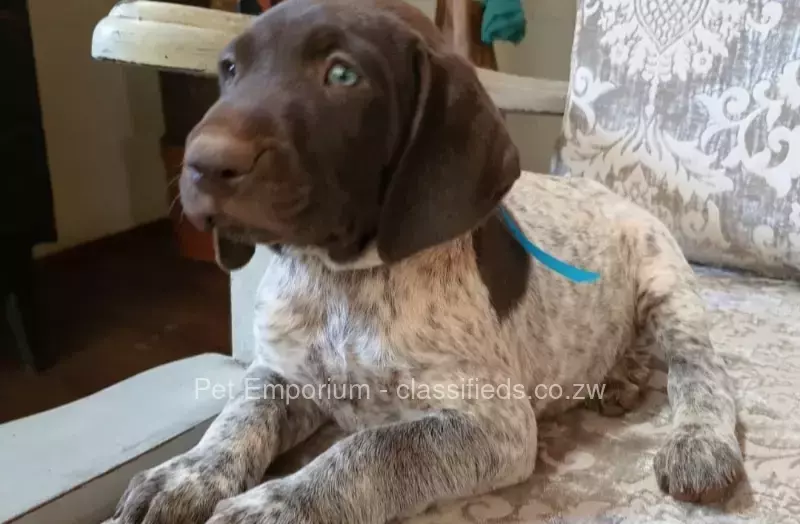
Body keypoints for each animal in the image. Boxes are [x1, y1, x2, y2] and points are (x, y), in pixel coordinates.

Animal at [111, 1, 744, 524]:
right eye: (230, 71)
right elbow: (239, 415)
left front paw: (275, 505)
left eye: (342, 74)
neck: (342, 282)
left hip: (667, 283)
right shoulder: (282, 374)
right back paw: (621, 374)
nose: (201, 163)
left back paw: (700, 442)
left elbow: (368, 449)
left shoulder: (495, 426)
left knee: (700, 369)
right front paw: (185, 474)